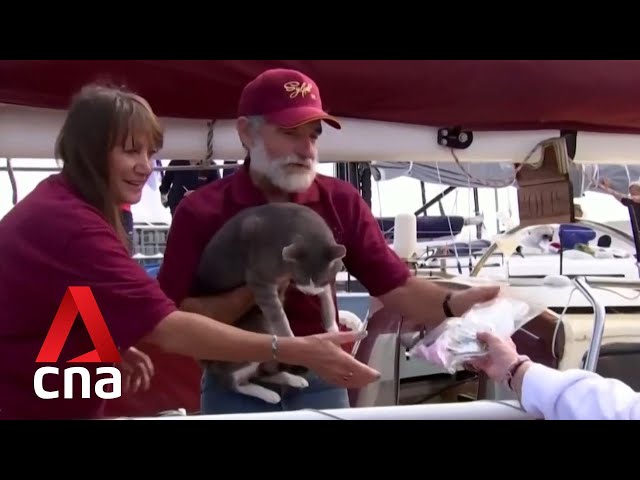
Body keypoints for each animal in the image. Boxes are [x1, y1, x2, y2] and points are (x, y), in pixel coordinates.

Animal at [191, 201, 344, 404]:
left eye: (321, 280)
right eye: (300, 278)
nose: (308, 291)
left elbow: (326, 297)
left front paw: (332, 326)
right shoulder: (260, 280)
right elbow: (279, 316)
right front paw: (296, 343)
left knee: (262, 372)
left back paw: (292, 379)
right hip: (246, 339)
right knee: (234, 382)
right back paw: (269, 394)